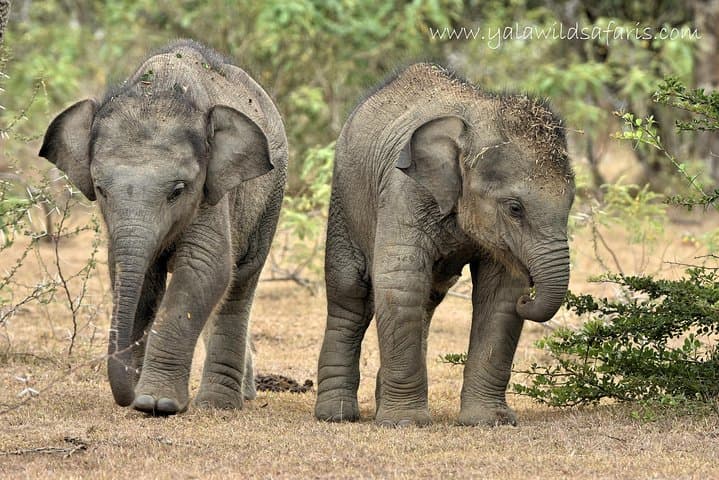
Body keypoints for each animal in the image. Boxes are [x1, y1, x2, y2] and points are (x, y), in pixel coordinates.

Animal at [39, 40, 287, 415]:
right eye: (100, 189)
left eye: (178, 190)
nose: (127, 396)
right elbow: (137, 280)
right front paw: (143, 397)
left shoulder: (211, 194)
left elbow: (204, 271)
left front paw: (157, 403)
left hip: (272, 193)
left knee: (241, 282)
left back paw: (219, 404)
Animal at [315, 63, 574, 427]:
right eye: (515, 208)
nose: (530, 296)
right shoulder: (405, 189)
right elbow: (400, 281)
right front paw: (405, 423)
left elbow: (500, 294)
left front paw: (489, 421)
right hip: (344, 200)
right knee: (350, 292)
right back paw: (336, 415)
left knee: (428, 297)